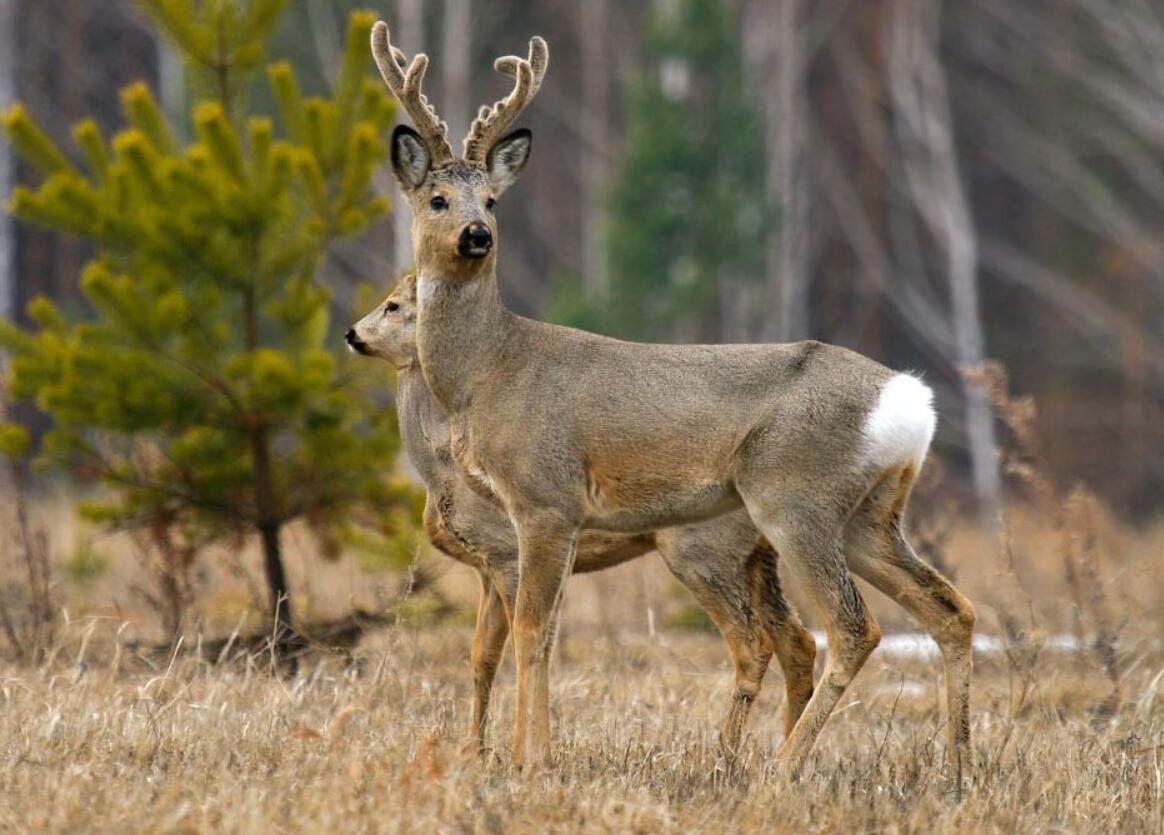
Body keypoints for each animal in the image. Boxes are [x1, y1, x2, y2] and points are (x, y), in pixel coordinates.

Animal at [349, 273, 814, 749]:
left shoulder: (505, 553)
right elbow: (481, 658)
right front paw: (474, 749)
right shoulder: (485, 568)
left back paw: (729, 750)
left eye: (393, 305)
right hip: (756, 557)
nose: (352, 334)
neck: (440, 470)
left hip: (703, 551)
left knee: (756, 643)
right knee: (799, 639)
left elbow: (520, 646)